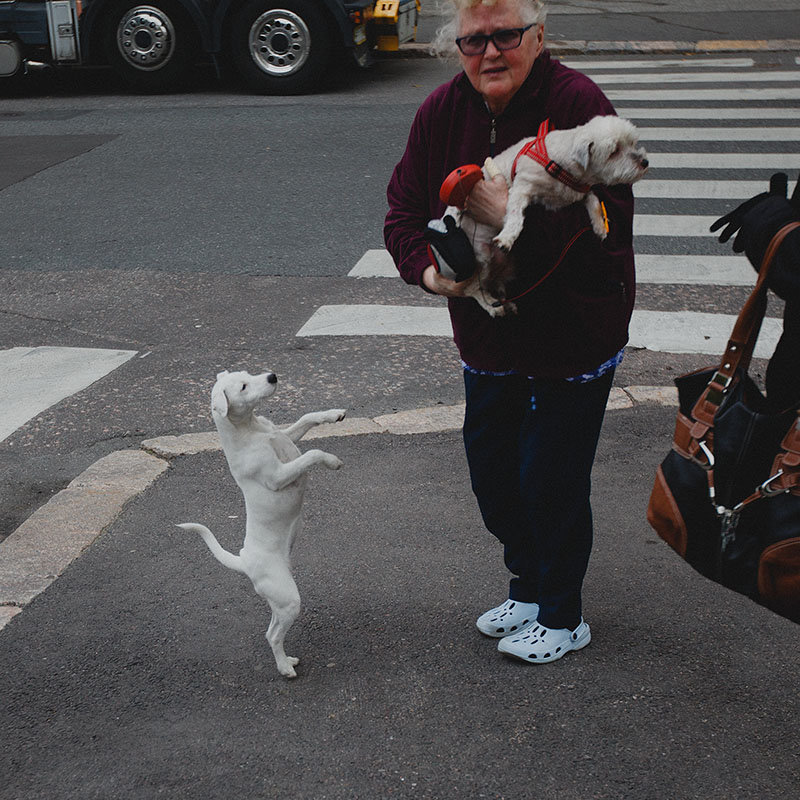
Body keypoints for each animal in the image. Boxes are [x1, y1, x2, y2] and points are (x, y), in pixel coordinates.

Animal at [178, 368, 346, 676]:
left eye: (247, 373)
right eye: (244, 386)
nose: (272, 376)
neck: (253, 431)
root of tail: (244, 560)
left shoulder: (286, 435)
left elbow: (306, 419)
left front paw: (333, 414)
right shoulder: (278, 476)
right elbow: (312, 454)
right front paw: (332, 460)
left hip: (279, 601)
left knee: (270, 631)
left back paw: (287, 660)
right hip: (289, 599)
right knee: (274, 635)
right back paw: (284, 668)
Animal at [446, 115, 648, 316]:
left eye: (632, 143)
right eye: (614, 151)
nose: (645, 162)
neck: (562, 167)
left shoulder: (577, 193)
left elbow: (594, 200)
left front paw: (599, 225)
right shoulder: (522, 188)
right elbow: (516, 216)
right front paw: (507, 237)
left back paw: (504, 301)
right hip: (481, 258)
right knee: (471, 288)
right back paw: (491, 305)